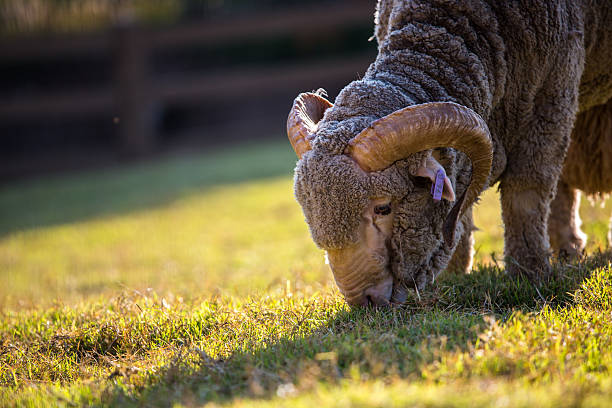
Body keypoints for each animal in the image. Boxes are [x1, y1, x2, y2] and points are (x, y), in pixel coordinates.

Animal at [286, 0, 612, 306]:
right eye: (309, 214)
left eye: (383, 208)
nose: (363, 301)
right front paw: (455, 273)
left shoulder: (552, 94)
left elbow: (527, 192)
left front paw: (529, 273)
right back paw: (568, 249)